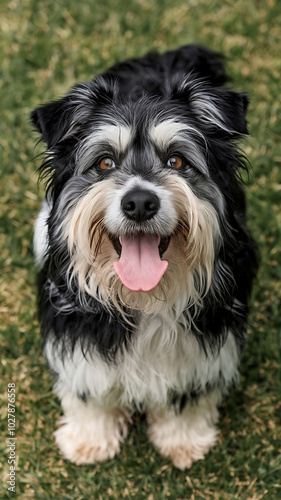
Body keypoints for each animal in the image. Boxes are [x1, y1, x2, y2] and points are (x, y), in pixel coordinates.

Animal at [31, 44, 258, 468]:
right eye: (104, 162)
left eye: (177, 161)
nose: (139, 202)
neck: (143, 297)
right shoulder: (78, 334)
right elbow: (89, 392)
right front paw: (90, 439)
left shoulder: (205, 343)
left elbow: (188, 398)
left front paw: (183, 440)